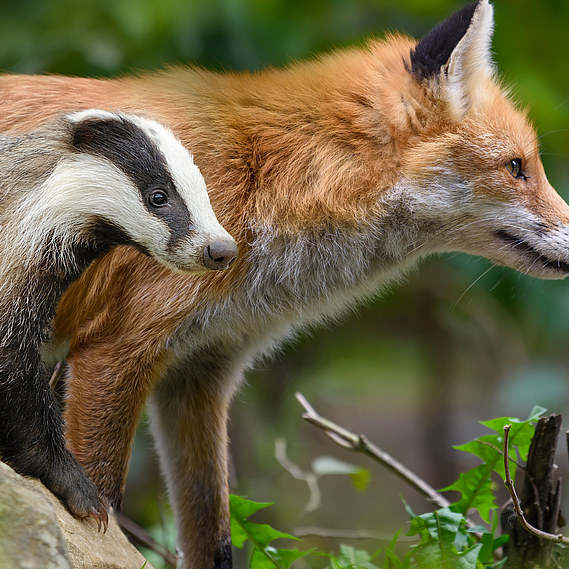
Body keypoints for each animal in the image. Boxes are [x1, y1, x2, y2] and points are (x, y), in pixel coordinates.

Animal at [1, 1, 568, 568]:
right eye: (516, 167)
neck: (266, 179)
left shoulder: (201, 372)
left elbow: (212, 535)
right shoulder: (115, 350)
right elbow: (102, 499)